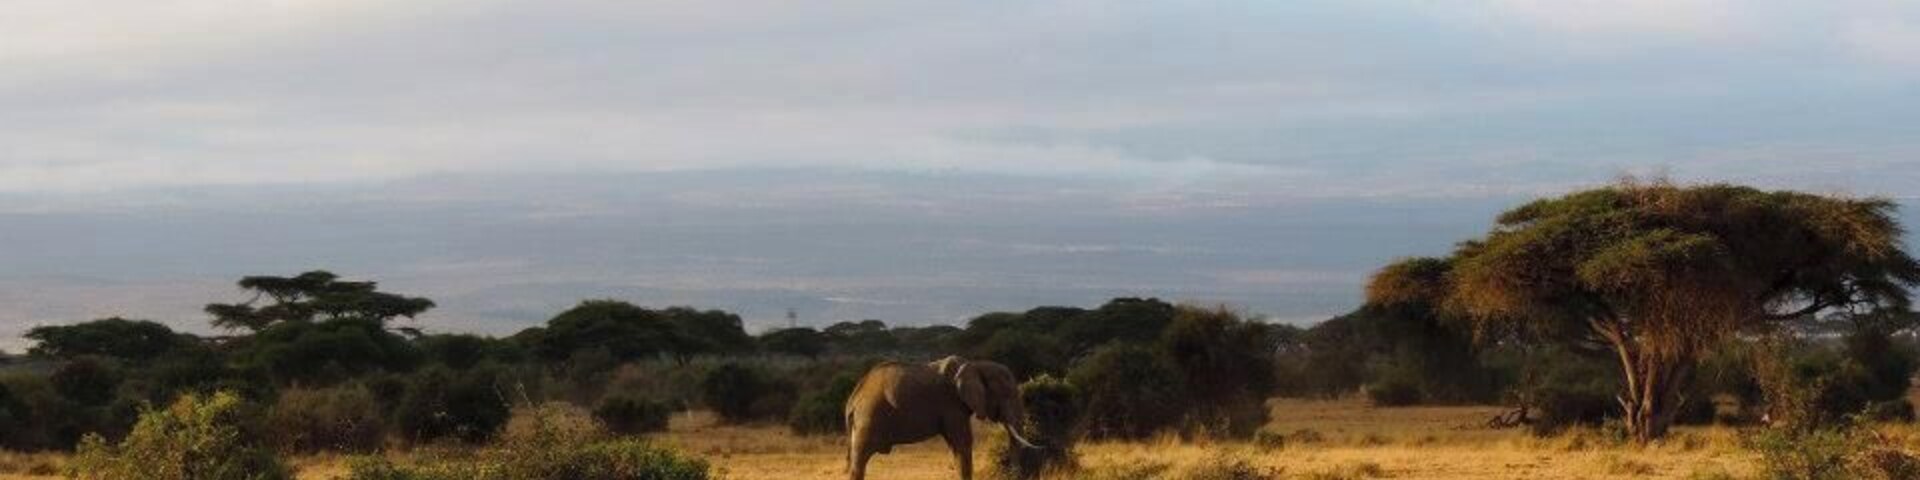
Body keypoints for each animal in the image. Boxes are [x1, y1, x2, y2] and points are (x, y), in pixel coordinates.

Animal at [844, 355, 1040, 480]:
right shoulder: (951, 403)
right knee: (859, 461)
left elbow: (956, 446)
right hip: (868, 418)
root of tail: (853, 398)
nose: (1015, 474)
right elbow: (962, 443)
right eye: (1006, 394)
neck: (976, 365)